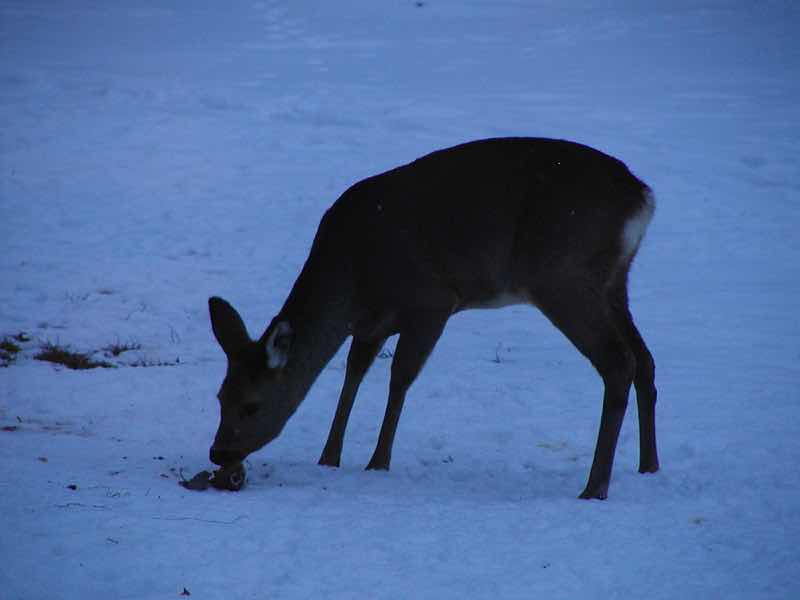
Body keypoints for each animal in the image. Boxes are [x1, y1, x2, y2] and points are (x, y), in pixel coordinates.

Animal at [209, 136, 660, 496]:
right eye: (220, 396)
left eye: (251, 405)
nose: (218, 451)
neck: (353, 276)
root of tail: (642, 196)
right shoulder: (372, 323)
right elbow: (354, 374)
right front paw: (329, 456)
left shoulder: (432, 302)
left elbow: (400, 379)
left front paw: (378, 461)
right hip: (613, 281)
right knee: (645, 360)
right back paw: (648, 466)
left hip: (562, 277)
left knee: (618, 361)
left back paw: (594, 487)